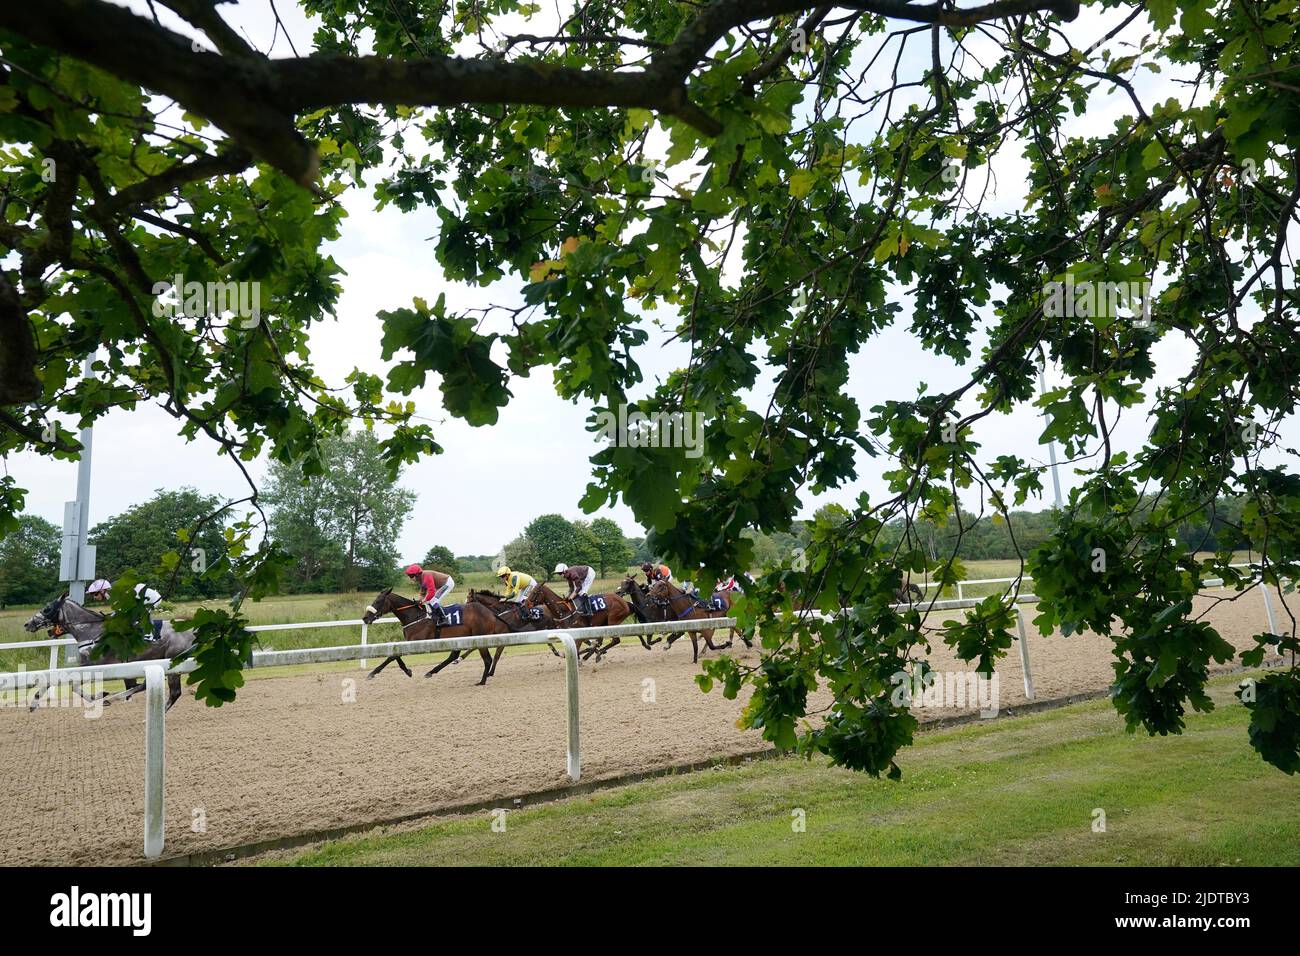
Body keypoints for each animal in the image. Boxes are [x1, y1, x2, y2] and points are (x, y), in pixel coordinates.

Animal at [22, 598, 195, 712]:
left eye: (47, 608)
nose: (27, 623)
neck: (91, 631)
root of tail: (193, 630)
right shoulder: (87, 665)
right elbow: (57, 678)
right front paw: (34, 702)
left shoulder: (97, 665)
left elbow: (74, 685)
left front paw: (99, 697)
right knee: (146, 685)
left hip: (174, 663)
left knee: (174, 692)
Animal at [366, 587, 512, 686]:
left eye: (378, 601)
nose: (365, 618)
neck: (414, 615)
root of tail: (491, 612)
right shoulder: (409, 641)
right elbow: (394, 654)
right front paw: (408, 671)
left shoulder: (416, 640)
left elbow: (393, 655)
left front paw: (373, 673)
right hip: (461, 637)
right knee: (454, 656)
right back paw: (431, 671)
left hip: (479, 636)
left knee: (487, 659)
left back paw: (482, 681)